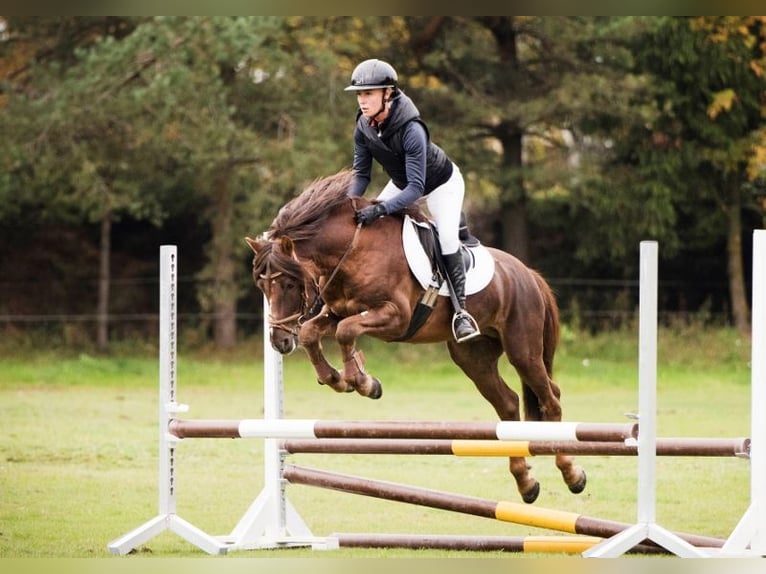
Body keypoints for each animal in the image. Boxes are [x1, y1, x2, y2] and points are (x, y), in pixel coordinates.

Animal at [245, 169, 586, 504]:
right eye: (262, 287)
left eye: (289, 284)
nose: (278, 341)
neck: (352, 251)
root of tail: (528, 274)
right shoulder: (339, 311)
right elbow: (311, 331)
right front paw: (337, 378)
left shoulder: (396, 317)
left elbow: (345, 331)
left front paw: (362, 381)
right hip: (474, 358)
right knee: (509, 404)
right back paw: (526, 483)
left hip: (522, 350)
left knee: (551, 399)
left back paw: (572, 475)